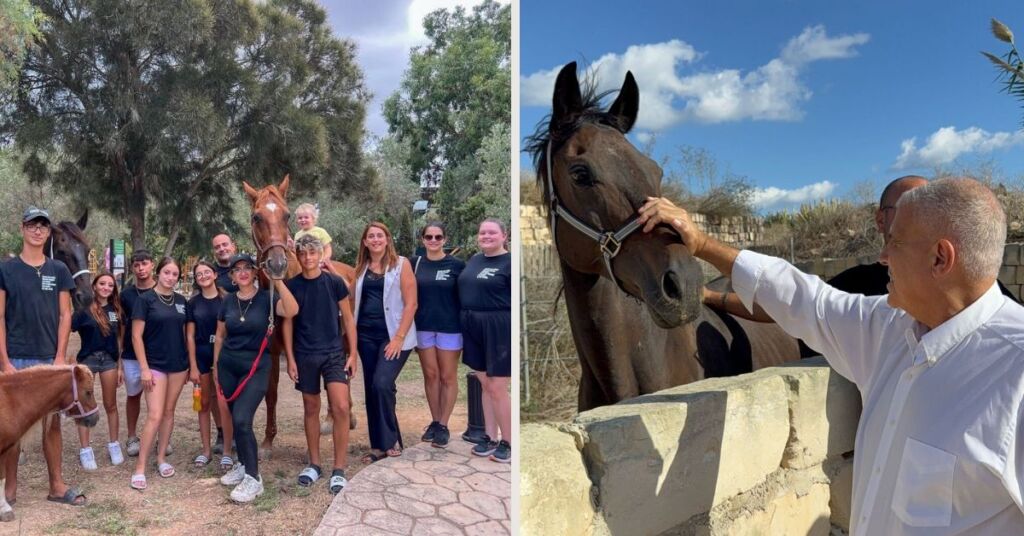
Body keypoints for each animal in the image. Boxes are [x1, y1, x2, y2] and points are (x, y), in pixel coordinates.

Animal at [242, 175, 357, 458]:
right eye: (256, 217)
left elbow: (311, 398)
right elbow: (271, 394)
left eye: (286, 215)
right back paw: (331, 419)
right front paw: (267, 442)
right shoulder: (273, 352)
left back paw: (345, 418)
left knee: (345, 377)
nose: (277, 264)